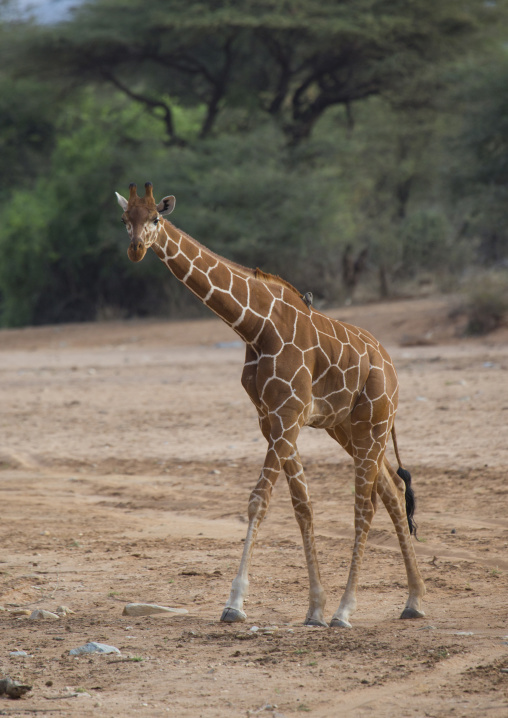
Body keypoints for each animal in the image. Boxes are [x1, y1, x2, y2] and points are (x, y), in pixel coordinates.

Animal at [116, 182, 426, 628]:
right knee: (393, 489)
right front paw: (314, 608)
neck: (254, 325)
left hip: (376, 420)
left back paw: (347, 610)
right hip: (347, 427)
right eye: (126, 220)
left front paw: (235, 603)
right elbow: (302, 505)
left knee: (364, 506)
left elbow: (259, 500)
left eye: (155, 217)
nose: (136, 248)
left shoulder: (287, 414)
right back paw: (413, 600)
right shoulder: (271, 418)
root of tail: (389, 364)